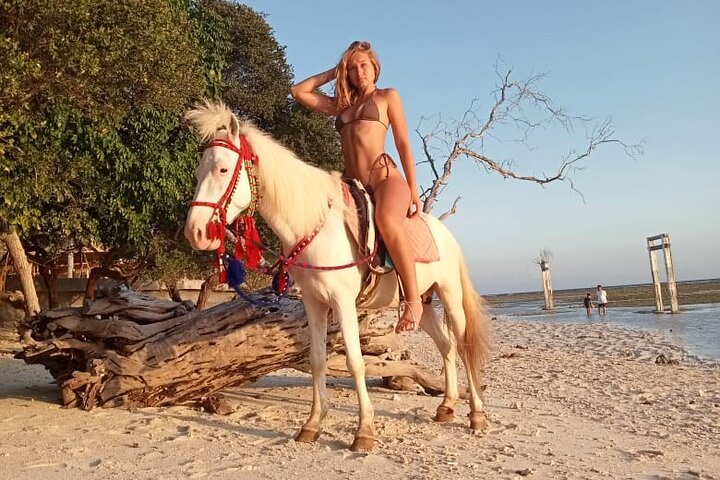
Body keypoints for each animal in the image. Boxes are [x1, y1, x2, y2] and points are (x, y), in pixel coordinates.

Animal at [183, 99, 491, 452]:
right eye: (199, 171)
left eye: (222, 169)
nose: (195, 232)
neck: (314, 222)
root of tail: (443, 232)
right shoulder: (314, 303)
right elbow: (317, 359)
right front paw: (312, 424)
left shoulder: (343, 302)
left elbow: (355, 361)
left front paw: (364, 431)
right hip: (423, 303)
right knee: (446, 345)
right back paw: (446, 407)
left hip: (450, 294)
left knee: (462, 344)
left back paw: (477, 416)